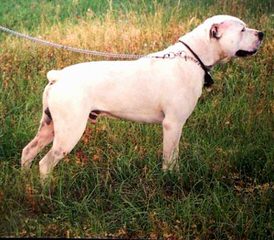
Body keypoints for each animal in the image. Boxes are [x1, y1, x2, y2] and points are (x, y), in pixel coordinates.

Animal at [21, 15, 264, 179]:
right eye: (242, 30)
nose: (261, 34)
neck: (192, 56)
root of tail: (58, 76)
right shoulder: (173, 124)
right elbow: (170, 158)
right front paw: (170, 180)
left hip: (49, 127)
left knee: (28, 151)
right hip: (69, 132)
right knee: (45, 163)